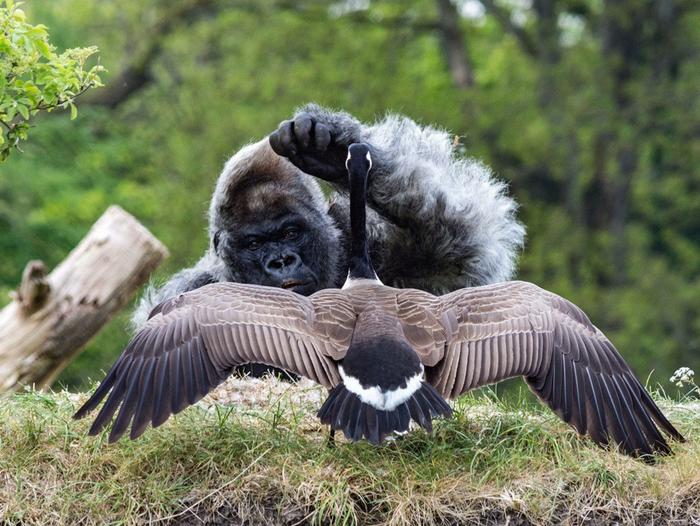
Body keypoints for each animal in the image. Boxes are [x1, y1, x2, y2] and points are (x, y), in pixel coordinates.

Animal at [131, 104, 524, 330]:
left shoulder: (376, 249)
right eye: (255, 243)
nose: (281, 261)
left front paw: (333, 148)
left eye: (290, 234)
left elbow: (460, 250)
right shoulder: (185, 295)